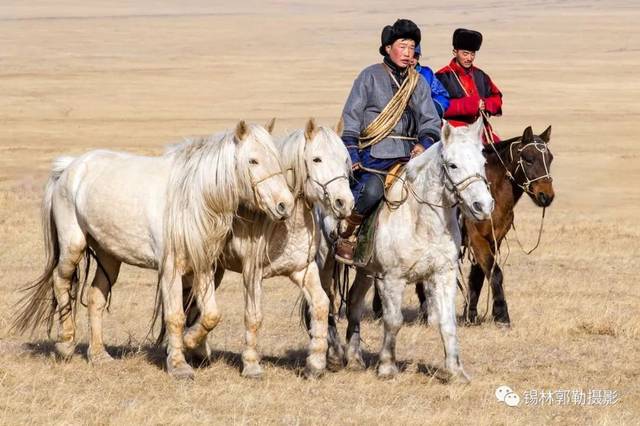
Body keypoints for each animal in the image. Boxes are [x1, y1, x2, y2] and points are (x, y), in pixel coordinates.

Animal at [13, 120, 296, 380]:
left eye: (276, 158)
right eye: (253, 161)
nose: (285, 205)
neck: (193, 199)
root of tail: (69, 166)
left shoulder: (203, 266)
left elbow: (211, 315)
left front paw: (190, 342)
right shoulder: (170, 269)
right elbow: (175, 316)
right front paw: (179, 365)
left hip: (109, 255)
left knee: (95, 298)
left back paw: (99, 355)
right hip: (73, 245)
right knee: (61, 282)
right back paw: (65, 344)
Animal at [176, 118, 356, 378]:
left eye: (344, 159)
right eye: (316, 159)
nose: (345, 203)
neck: (286, 223)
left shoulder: (302, 270)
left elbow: (321, 306)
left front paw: (316, 364)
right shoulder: (252, 273)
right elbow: (254, 316)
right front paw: (252, 365)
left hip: (215, 270)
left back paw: (198, 351)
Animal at [318, 118, 492, 382]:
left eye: (483, 162)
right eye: (452, 165)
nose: (483, 206)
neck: (422, 220)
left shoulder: (444, 274)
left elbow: (447, 322)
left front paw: (455, 371)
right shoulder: (391, 279)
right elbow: (393, 321)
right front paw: (387, 367)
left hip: (365, 270)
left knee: (354, 302)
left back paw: (355, 359)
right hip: (325, 264)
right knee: (325, 302)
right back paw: (334, 356)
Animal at [370, 125, 556, 326]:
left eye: (550, 158)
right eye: (529, 159)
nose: (546, 196)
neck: (494, 191)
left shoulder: (493, 240)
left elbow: (479, 277)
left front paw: (471, 315)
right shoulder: (477, 239)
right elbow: (495, 273)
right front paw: (502, 315)